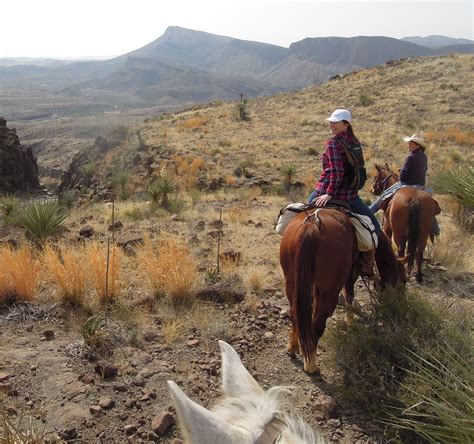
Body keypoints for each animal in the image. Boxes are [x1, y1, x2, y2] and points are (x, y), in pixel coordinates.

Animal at [280, 209, 406, 374]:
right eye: (403, 281)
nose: (401, 302)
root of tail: (312, 226)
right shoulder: (352, 274)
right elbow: (349, 294)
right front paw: (350, 320)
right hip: (329, 291)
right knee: (318, 323)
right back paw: (311, 364)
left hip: (292, 282)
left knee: (295, 313)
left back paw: (293, 347)